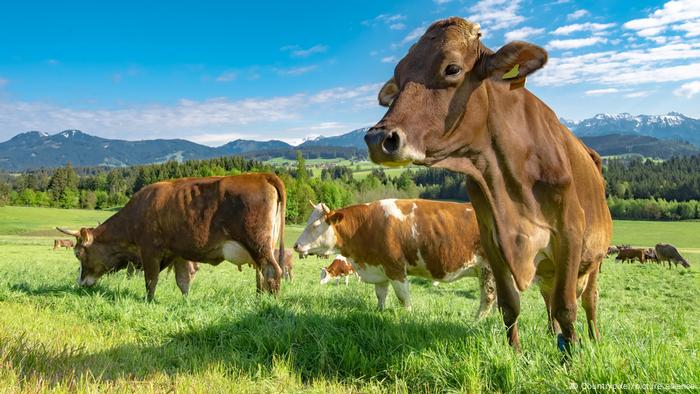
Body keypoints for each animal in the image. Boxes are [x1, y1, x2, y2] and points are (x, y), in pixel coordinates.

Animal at [57, 174, 286, 300]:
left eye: (78, 254)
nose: (80, 282)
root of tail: (262, 175)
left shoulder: (149, 251)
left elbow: (151, 280)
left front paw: (148, 301)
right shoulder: (179, 254)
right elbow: (183, 281)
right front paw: (186, 302)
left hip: (258, 245)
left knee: (272, 272)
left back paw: (270, 303)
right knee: (262, 276)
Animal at [296, 199, 498, 318]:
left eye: (315, 225)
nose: (296, 245)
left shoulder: (395, 269)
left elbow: (403, 298)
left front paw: (407, 318)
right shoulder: (379, 269)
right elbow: (380, 295)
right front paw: (380, 312)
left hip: (487, 269)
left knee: (488, 298)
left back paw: (476, 321)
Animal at [364, 16, 608, 352]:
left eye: (452, 68)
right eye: (398, 79)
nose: (378, 138)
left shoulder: (570, 230)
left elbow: (566, 306)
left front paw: (573, 357)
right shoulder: (492, 237)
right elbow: (510, 304)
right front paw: (517, 355)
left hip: (595, 258)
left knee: (589, 300)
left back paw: (594, 337)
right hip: (548, 269)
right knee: (548, 296)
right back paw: (552, 334)